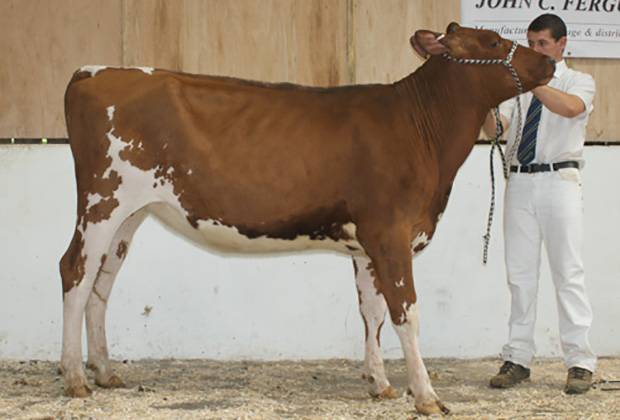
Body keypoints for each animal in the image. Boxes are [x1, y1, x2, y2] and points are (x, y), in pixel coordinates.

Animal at [60, 23, 556, 416]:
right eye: (493, 41)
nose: (550, 61)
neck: (421, 130)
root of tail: (93, 71)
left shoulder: (366, 245)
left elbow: (372, 313)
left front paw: (380, 384)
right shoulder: (391, 233)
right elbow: (407, 315)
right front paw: (427, 396)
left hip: (130, 213)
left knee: (102, 282)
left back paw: (104, 372)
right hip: (103, 200)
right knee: (76, 272)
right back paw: (75, 378)